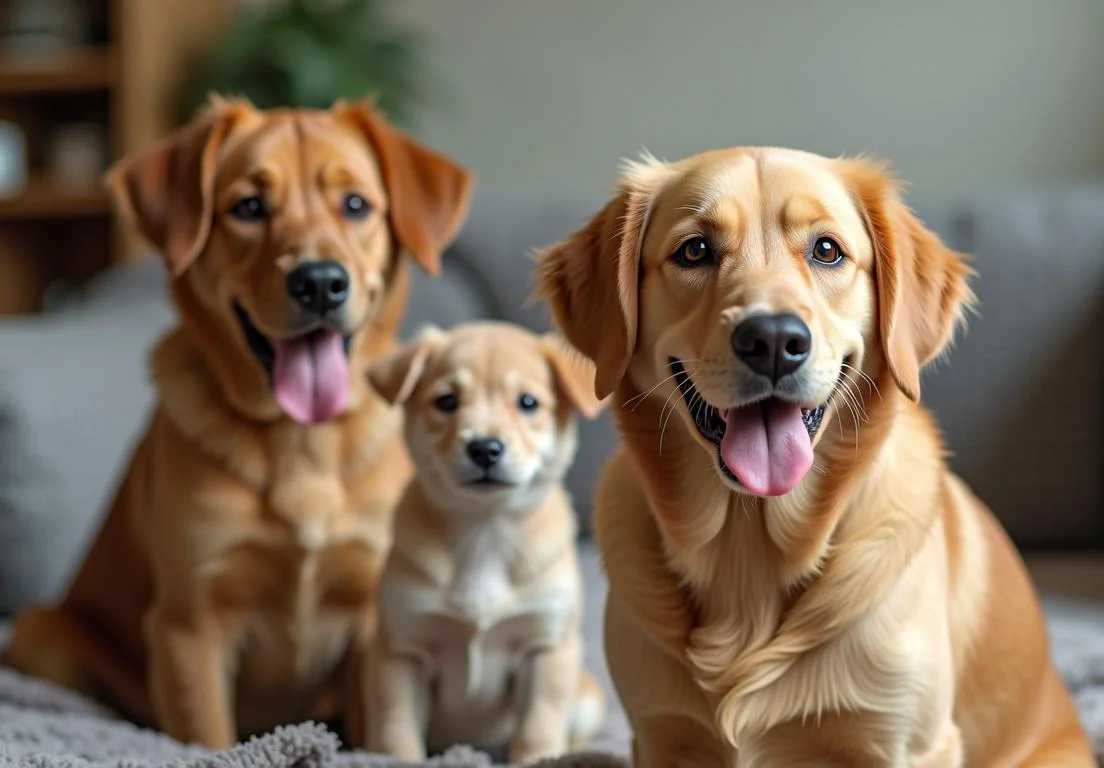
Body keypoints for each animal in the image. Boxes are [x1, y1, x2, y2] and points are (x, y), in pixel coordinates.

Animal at [1, 96, 474, 750]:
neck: (302, 441)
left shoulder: (372, 612)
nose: (320, 282)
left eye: (356, 204)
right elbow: (207, 736)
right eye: (248, 207)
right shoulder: (190, 625)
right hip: (42, 631)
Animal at [359, 320, 604, 763]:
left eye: (528, 402)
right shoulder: (402, 650)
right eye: (446, 401)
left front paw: (540, 757)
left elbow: (540, 724)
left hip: (588, 700)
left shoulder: (546, 648)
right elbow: (396, 726)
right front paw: (400, 756)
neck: (484, 532)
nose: (485, 448)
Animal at [529, 146, 1090, 763]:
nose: (773, 340)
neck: (747, 557)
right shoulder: (658, 735)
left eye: (827, 250)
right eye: (694, 250)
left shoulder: (912, 742)